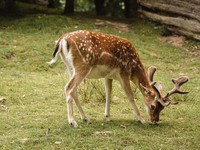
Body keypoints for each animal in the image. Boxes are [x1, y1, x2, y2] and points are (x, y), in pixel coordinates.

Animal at [47, 29, 188, 127]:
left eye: (162, 108)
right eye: (153, 106)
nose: (155, 121)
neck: (134, 67)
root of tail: (62, 40)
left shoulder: (108, 76)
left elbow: (108, 94)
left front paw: (108, 116)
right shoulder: (124, 73)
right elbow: (130, 95)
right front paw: (140, 119)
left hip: (69, 67)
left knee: (73, 90)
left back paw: (85, 117)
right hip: (82, 66)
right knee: (69, 88)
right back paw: (73, 122)